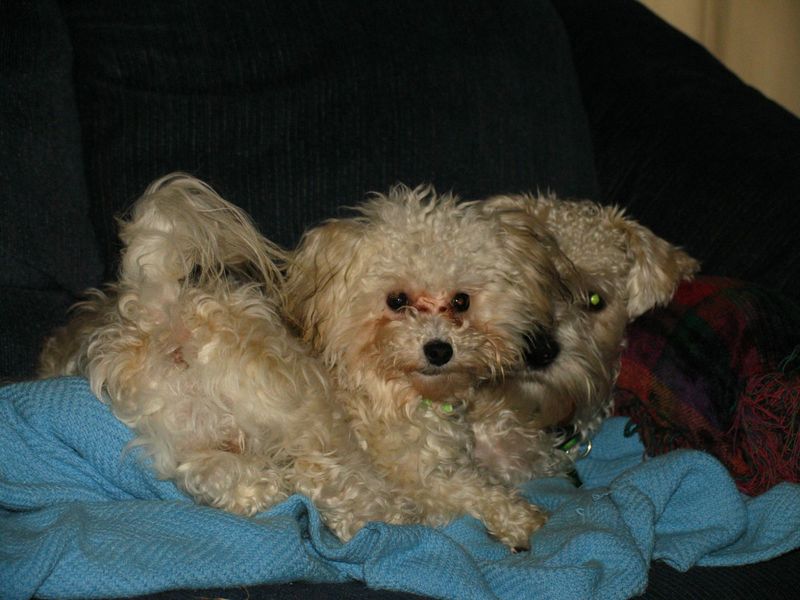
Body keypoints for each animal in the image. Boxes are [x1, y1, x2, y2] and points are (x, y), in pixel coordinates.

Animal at [38, 174, 420, 542]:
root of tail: (159, 316)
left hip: (183, 437)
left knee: (222, 474)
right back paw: (380, 515)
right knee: (332, 476)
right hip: (292, 409)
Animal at [284, 185, 574, 550]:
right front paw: (518, 517)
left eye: (461, 300)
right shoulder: (415, 478)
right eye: (396, 300)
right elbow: (467, 490)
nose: (439, 350)